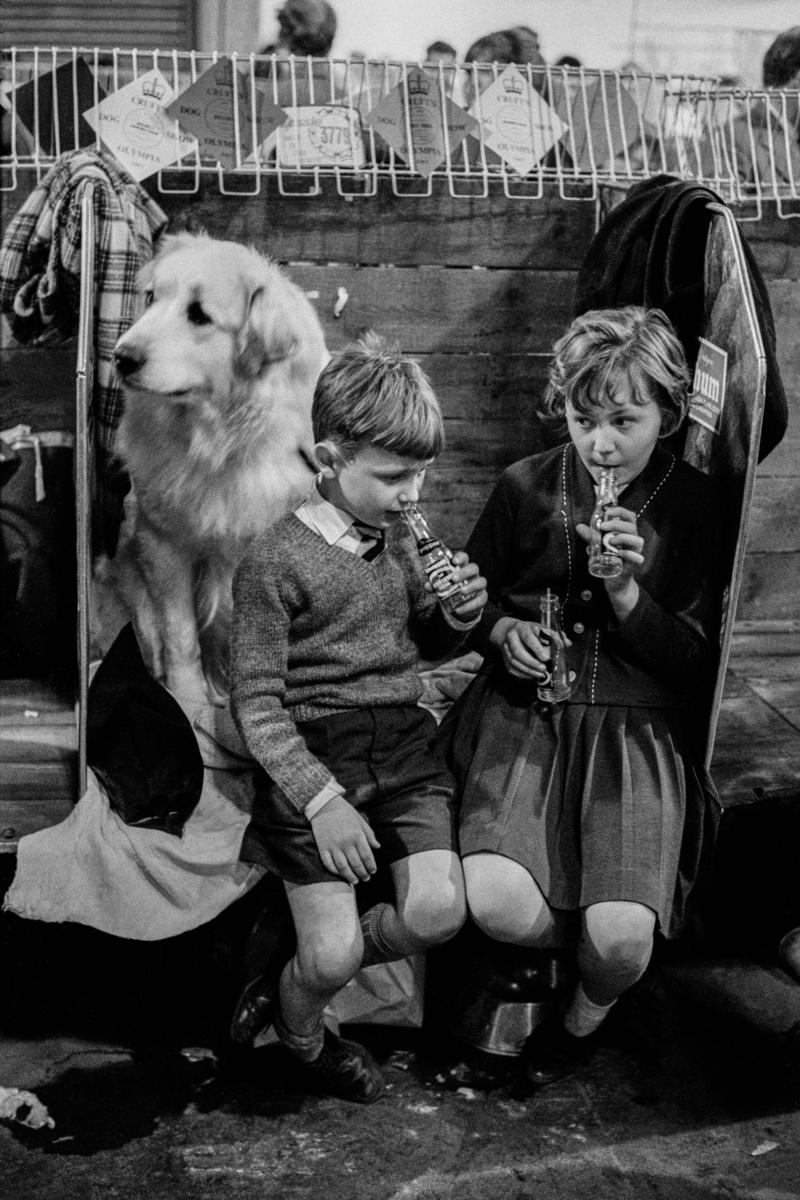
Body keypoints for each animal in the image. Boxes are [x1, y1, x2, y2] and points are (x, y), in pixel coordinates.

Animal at [107, 231, 331, 700]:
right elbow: (180, 636)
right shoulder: (163, 544)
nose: (121, 357)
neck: (220, 438)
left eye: (199, 315)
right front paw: (189, 698)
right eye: (151, 297)